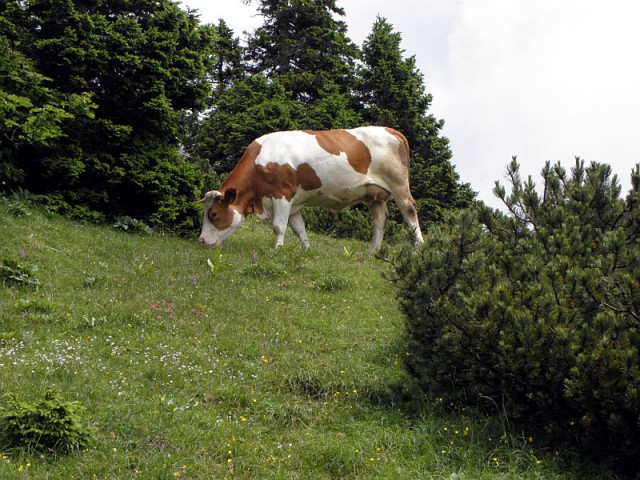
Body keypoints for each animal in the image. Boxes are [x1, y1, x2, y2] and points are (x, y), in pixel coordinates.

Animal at [198, 126, 422, 255]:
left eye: (214, 214)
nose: (201, 241)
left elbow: (279, 227)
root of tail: (392, 131)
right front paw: (306, 250)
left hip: (398, 184)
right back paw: (371, 252)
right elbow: (299, 228)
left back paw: (419, 247)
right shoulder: (294, 203)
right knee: (380, 219)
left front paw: (277, 250)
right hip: (374, 193)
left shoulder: (282, 195)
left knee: (409, 211)